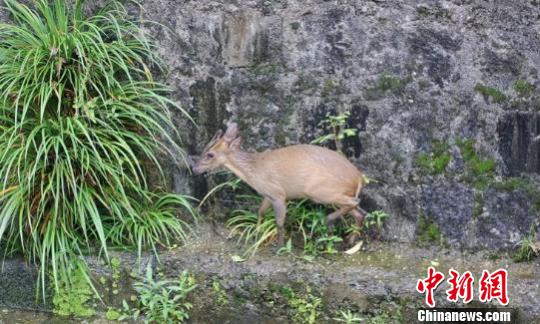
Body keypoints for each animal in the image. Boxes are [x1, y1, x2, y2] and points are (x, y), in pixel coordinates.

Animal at [192, 121, 364, 246]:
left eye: (210, 154)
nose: (194, 169)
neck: (254, 170)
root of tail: (358, 178)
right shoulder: (268, 194)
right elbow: (260, 212)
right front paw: (257, 233)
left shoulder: (278, 194)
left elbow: (279, 222)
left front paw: (279, 246)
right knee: (359, 212)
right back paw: (350, 240)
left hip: (320, 191)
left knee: (355, 202)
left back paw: (328, 221)